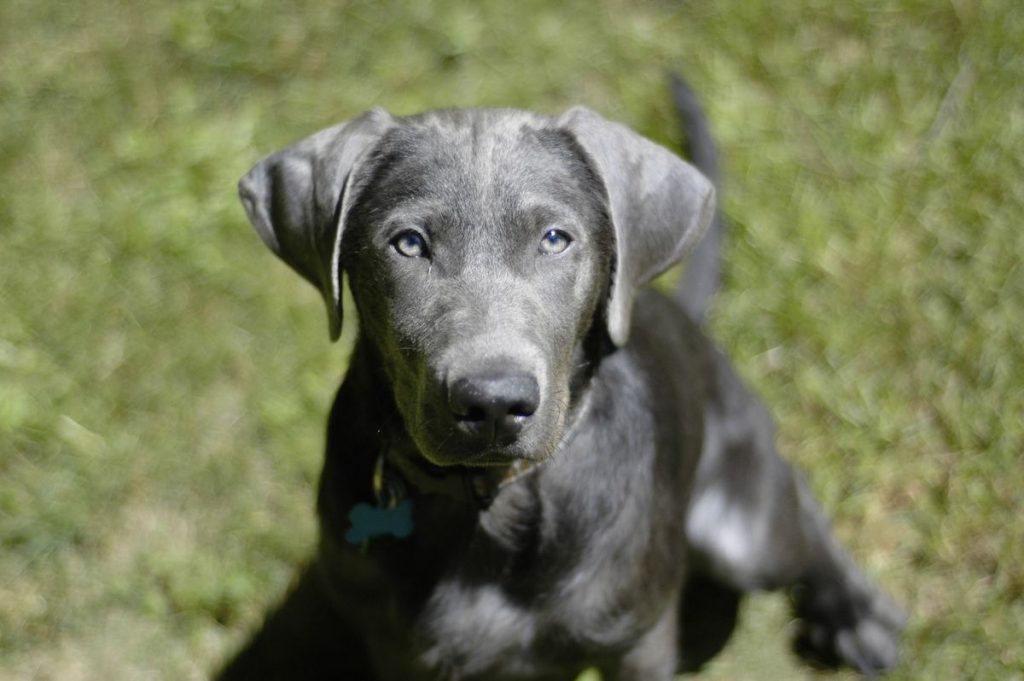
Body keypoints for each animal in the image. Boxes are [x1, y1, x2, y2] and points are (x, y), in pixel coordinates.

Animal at [218, 75, 905, 679]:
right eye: (408, 243)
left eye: (555, 239)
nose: (494, 404)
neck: (489, 507)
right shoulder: (396, 650)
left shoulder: (638, 644)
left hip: (736, 534)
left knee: (797, 504)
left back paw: (857, 617)